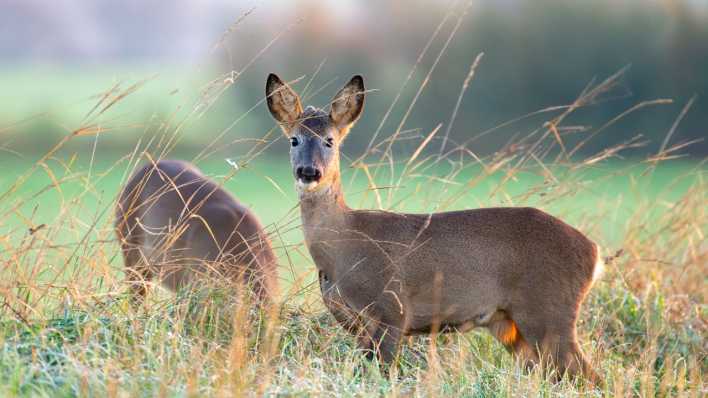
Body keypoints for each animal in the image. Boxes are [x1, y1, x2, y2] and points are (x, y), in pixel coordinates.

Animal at [264, 74, 604, 382]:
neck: (343, 245)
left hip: (549, 310)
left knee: (588, 376)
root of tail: (594, 251)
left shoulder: (393, 309)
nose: (309, 172)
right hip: (511, 325)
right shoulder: (353, 322)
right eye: (294, 139)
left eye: (329, 140)